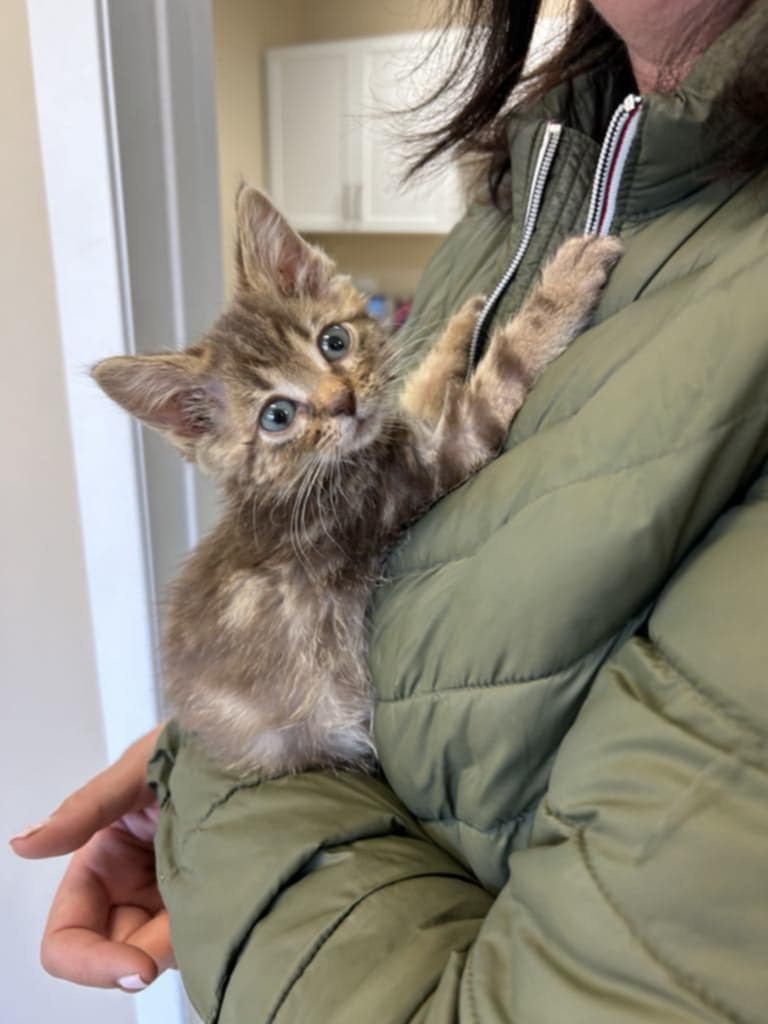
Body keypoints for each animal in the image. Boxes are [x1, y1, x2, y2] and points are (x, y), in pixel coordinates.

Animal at [93, 186, 622, 774]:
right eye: (277, 416)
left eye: (334, 341)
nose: (342, 401)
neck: (314, 476)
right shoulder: (418, 472)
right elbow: (503, 370)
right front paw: (566, 284)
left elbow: (421, 386)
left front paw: (461, 323)